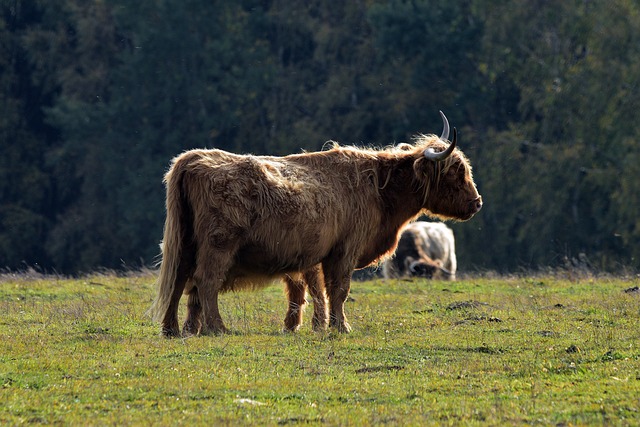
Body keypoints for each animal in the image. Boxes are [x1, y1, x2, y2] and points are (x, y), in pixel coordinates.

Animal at [150, 111, 480, 338]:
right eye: (456, 171)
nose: (477, 202)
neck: (378, 188)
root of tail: (193, 159)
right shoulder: (344, 251)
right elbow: (338, 290)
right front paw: (341, 327)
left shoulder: (318, 257)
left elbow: (316, 291)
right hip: (218, 245)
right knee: (206, 281)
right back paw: (217, 328)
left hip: (184, 244)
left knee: (179, 281)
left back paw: (173, 330)